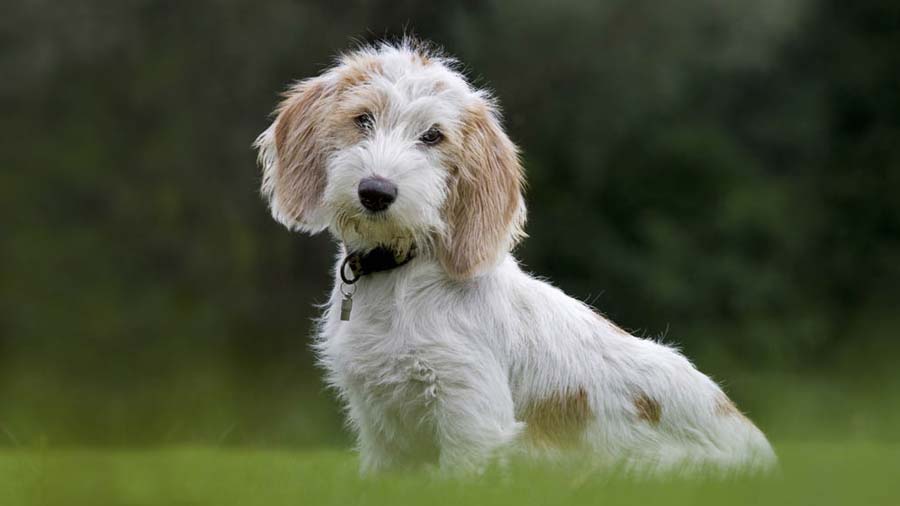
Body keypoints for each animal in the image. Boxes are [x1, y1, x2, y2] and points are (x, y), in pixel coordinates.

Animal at [256, 38, 776, 474]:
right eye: (362, 119)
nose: (376, 192)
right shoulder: (383, 438)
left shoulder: (471, 419)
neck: (399, 277)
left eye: (433, 136)